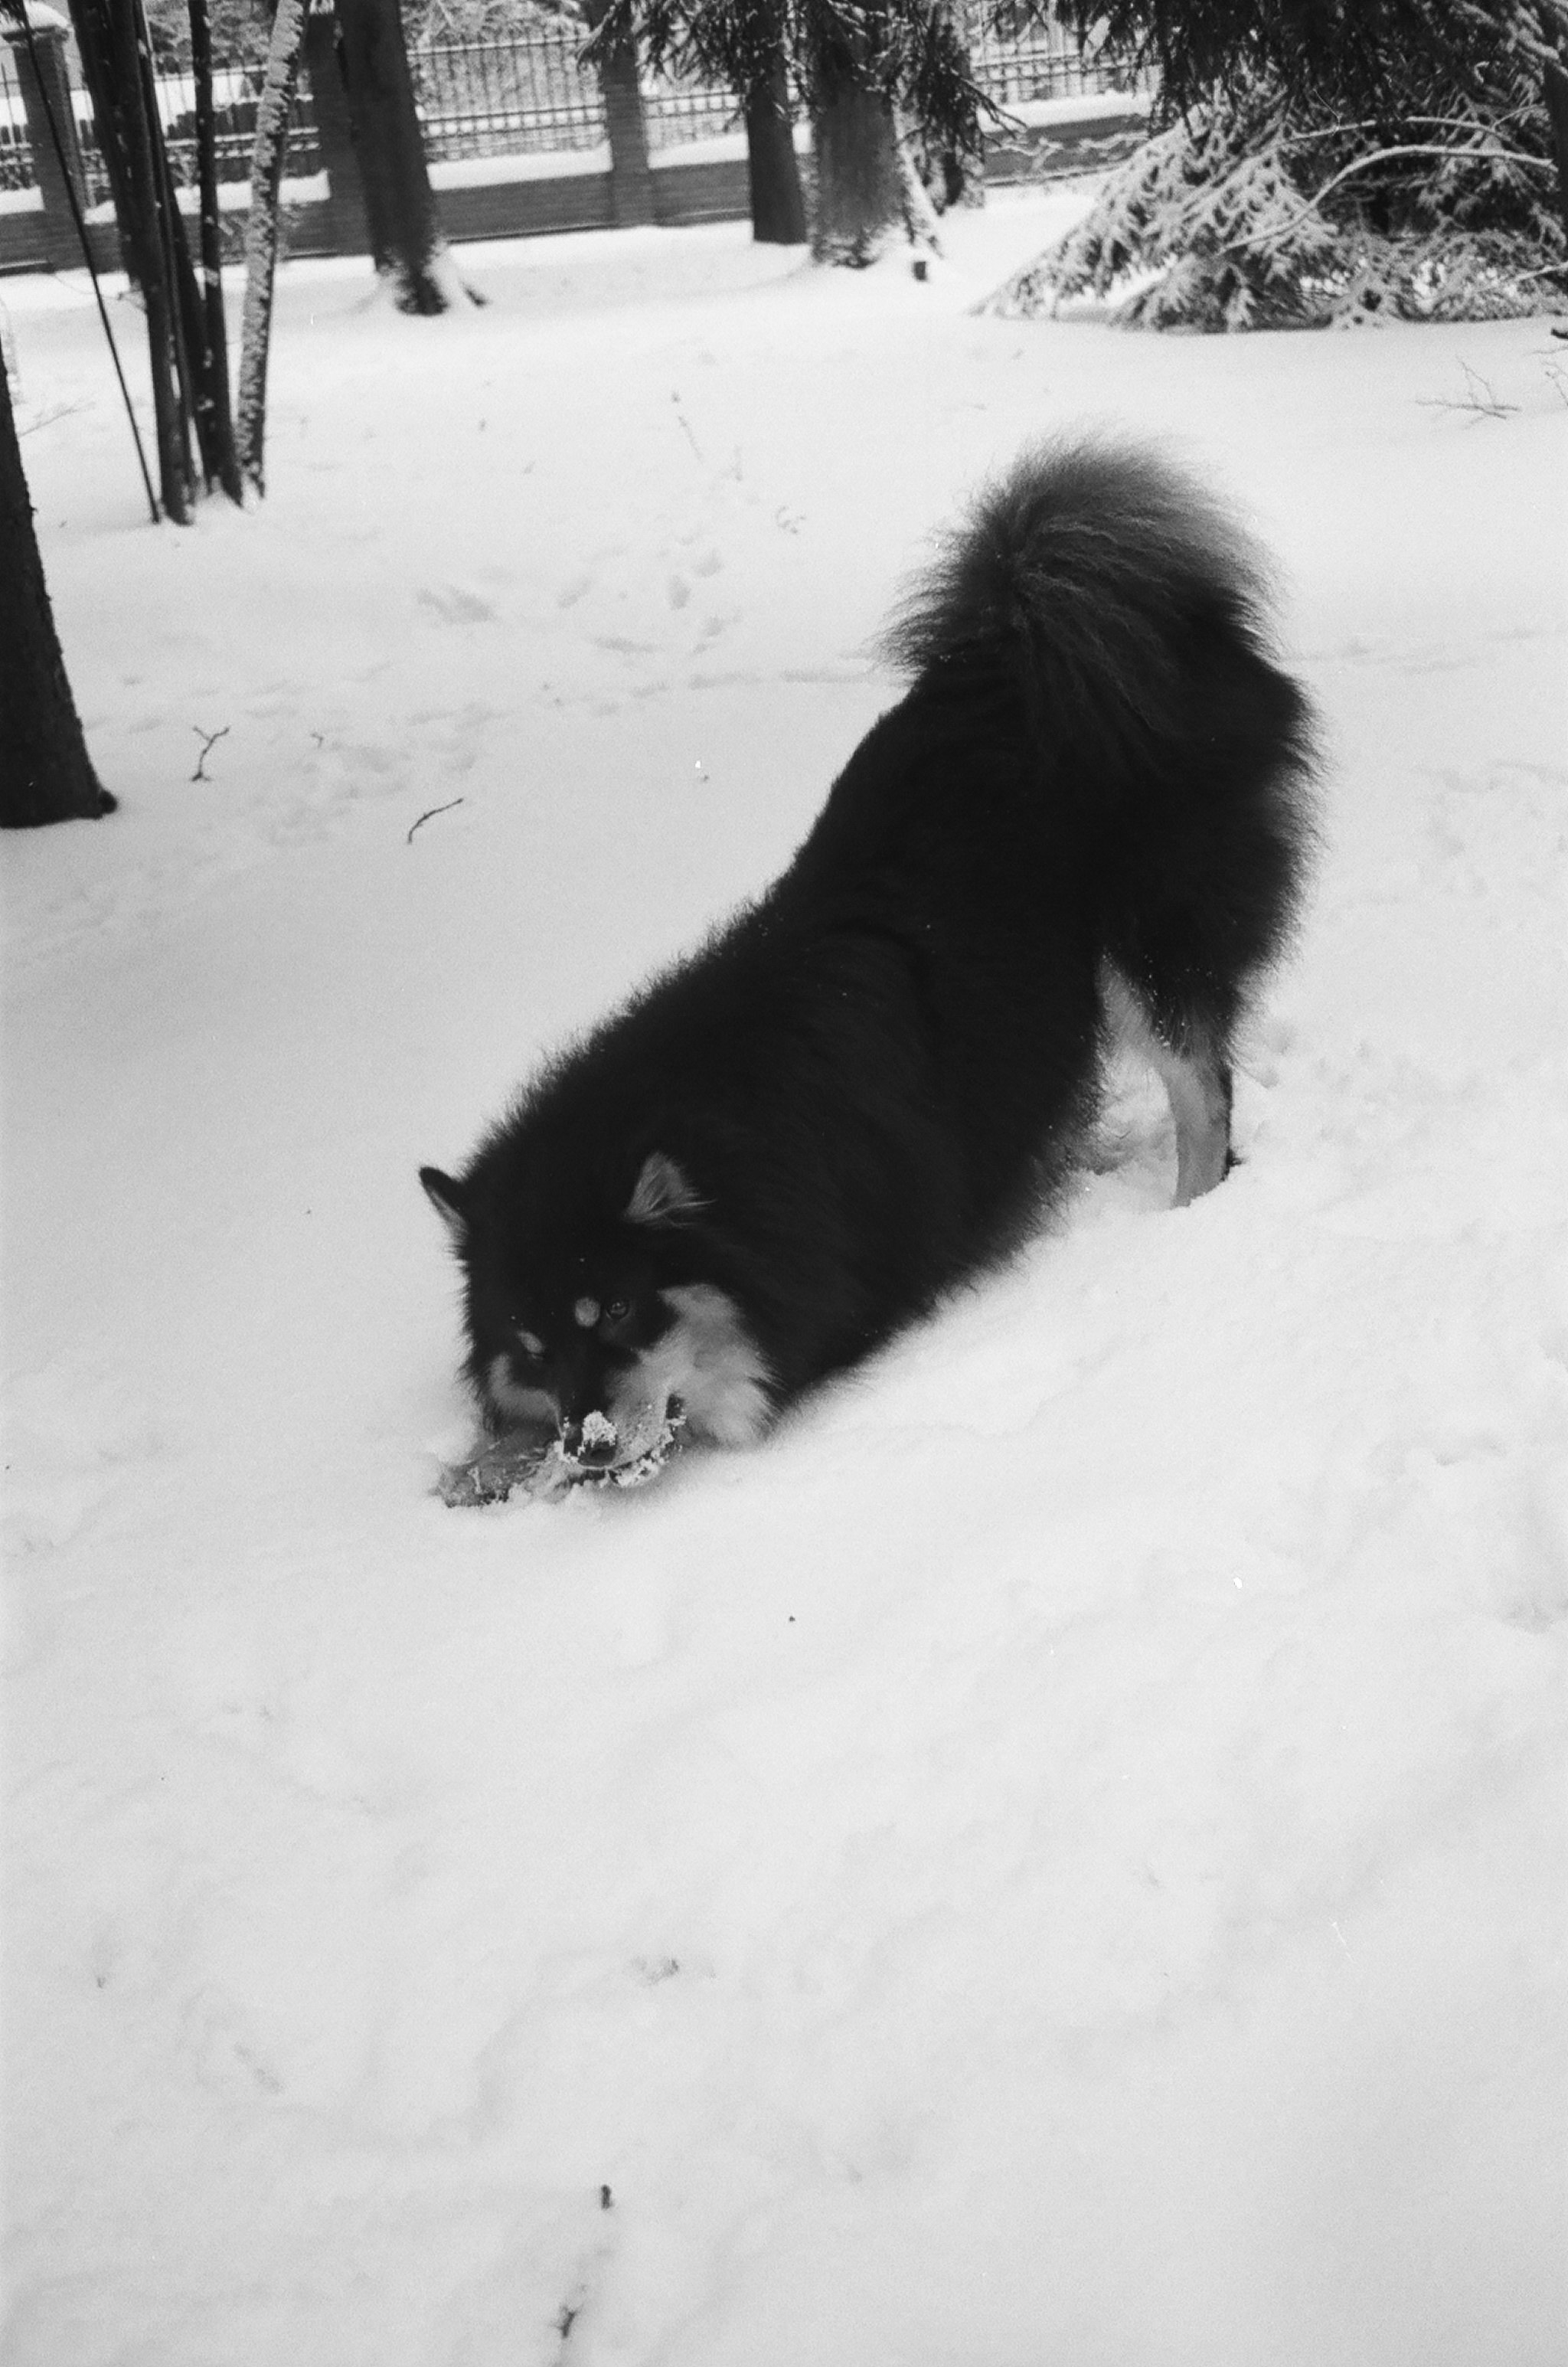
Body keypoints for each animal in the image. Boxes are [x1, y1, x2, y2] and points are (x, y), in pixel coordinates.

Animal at [423, 443, 1315, 1467]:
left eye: (613, 1310)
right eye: (532, 1345)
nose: (590, 1445)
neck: (741, 1154)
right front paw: (482, 1464)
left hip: (1150, 945)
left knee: (1204, 1091)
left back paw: (1185, 1219)